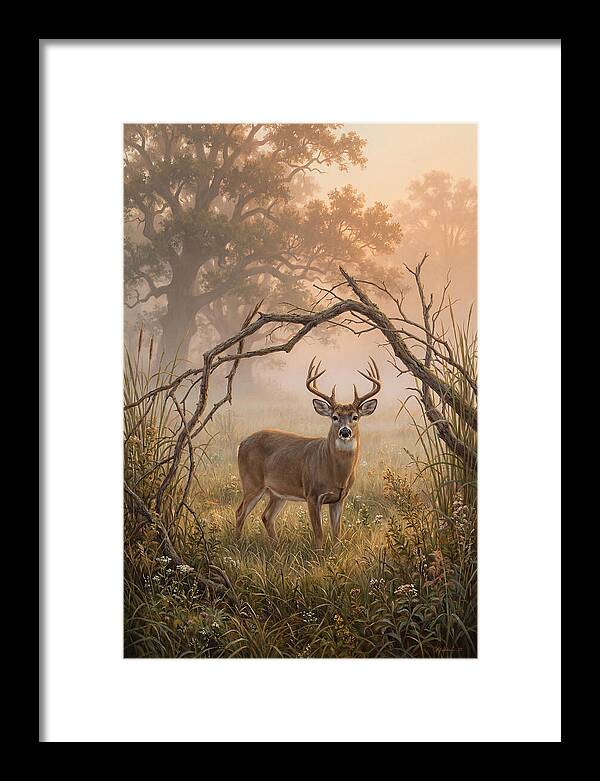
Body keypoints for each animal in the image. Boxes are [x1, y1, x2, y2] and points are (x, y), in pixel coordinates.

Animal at [235, 357, 381, 548]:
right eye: (334, 417)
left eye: (355, 417)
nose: (345, 431)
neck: (335, 473)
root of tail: (242, 443)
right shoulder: (312, 494)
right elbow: (319, 534)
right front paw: (319, 554)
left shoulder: (340, 498)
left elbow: (336, 534)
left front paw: (335, 552)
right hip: (252, 482)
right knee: (240, 513)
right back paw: (237, 544)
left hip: (277, 492)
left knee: (266, 516)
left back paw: (276, 547)